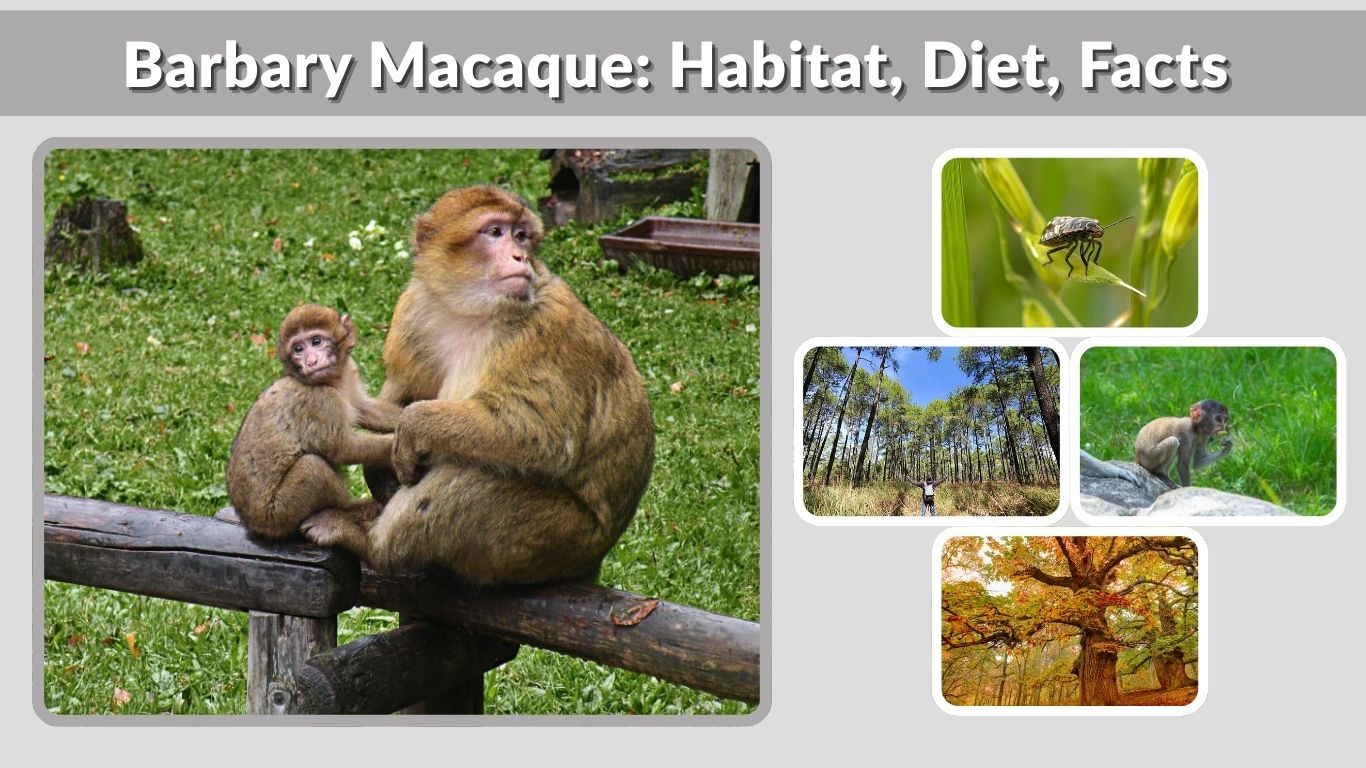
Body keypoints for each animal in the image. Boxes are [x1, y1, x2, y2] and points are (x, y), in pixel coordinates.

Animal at [227, 304, 401, 540]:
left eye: (316, 341)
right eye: (298, 349)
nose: (311, 361)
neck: (333, 381)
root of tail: (252, 525)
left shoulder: (349, 372)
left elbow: (365, 409)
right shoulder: (321, 400)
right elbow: (342, 449)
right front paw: (399, 442)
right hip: (279, 514)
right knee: (312, 466)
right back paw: (350, 508)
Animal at [301, 185, 655, 587]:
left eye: (522, 236)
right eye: (495, 232)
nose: (520, 256)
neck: (470, 312)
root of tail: (591, 563)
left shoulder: (544, 330)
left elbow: (542, 437)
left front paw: (414, 425)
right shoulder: (415, 310)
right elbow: (403, 394)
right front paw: (378, 451)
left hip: (557, 542)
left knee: (472, 472)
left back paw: (373, 544)